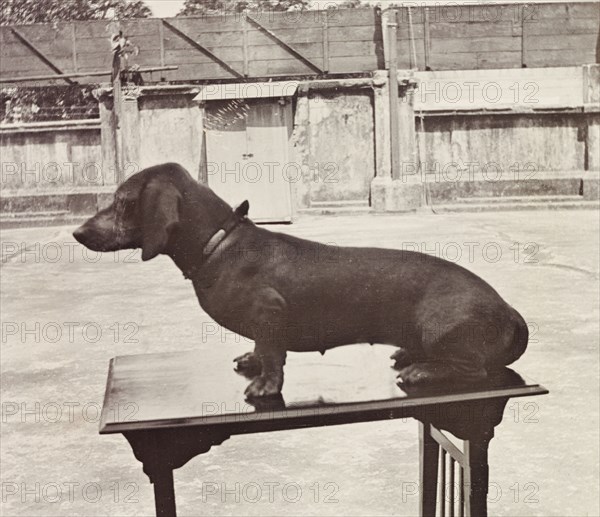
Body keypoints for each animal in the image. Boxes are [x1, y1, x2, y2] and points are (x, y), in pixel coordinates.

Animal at [72, 163, 528, 398]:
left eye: (122, 202)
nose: (77, 233)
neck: (220, 244)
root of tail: (509, 311)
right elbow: (260, 349)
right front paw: (251, 360)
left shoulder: (270, 313)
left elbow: (274, 354)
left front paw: (265, 383)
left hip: (440, 330)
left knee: (475, 371)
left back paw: (422, 372)